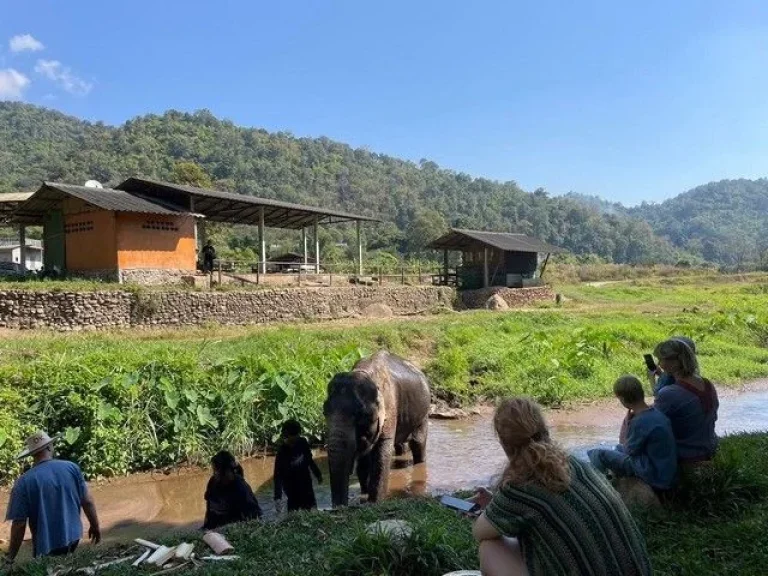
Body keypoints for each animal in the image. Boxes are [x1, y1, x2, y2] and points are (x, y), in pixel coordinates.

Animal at [322, 348, 432, 506]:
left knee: (418, 443)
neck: (366, 374)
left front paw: (375, 502)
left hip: (423, 413)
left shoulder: (390, 408)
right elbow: (363, 461)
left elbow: (381, 455)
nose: (338, 508)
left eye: (362, 414)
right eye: (324, 412)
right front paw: (364, 495)